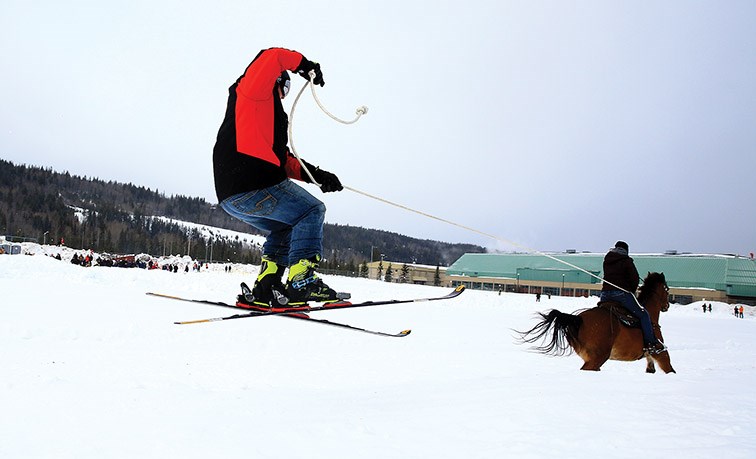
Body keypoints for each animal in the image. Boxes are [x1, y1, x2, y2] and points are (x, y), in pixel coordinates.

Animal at [516, 274, 676, 374]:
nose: (667, 306)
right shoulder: (661, 353)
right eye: (667, 290)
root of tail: (578, 319)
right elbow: (670, 369)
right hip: (597, 358)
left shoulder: (650, 360)